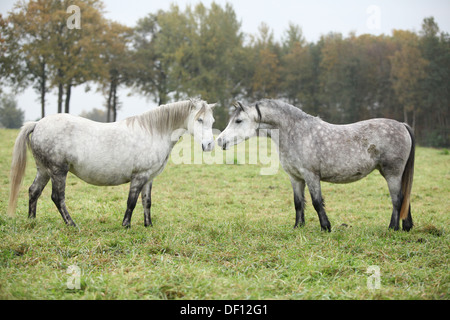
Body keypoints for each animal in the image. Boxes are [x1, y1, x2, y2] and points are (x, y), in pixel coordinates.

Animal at [7, 99, 215, 228]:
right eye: (199, 119)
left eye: (212, 120)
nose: (209, 145)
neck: (154, 132)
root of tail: (38, 124)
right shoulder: (139, 176)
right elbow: (132, 202)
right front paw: (126, 225)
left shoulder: (149, 178)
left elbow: (146, 202)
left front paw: (148, 225)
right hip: (58, 171)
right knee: (57, 198)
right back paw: (72, 224)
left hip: (44, 170)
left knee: (34, 191)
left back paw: (32, 220)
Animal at [218, 99, 414, 231]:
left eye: (238, 121)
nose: (220, 140)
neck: (296, 133)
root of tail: (402, 125)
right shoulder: (295, 178)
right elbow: (298, 203)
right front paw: (298, 226)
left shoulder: (311, 176)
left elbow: (317, 202)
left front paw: (326, 227)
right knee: (405, 197)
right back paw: (407, 227)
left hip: (392, 173)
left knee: (397, 199)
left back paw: (393, 228)